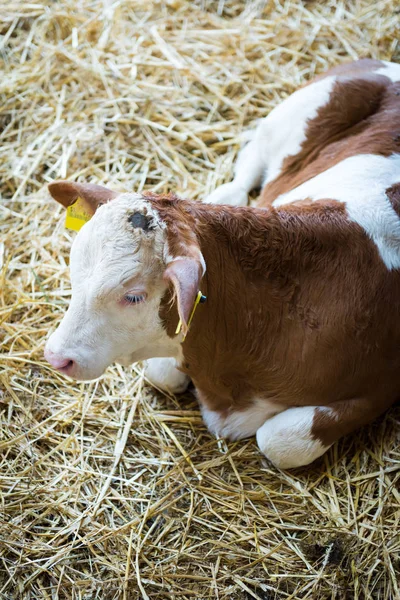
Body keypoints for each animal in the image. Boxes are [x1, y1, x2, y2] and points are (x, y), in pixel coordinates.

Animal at [45, 58, 400, 468]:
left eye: (133, 296)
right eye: (75, 274)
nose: (56, 356)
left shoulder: (380, 386)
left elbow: (281, 440)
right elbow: (162, 374)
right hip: (292, 114)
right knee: (248, 166)